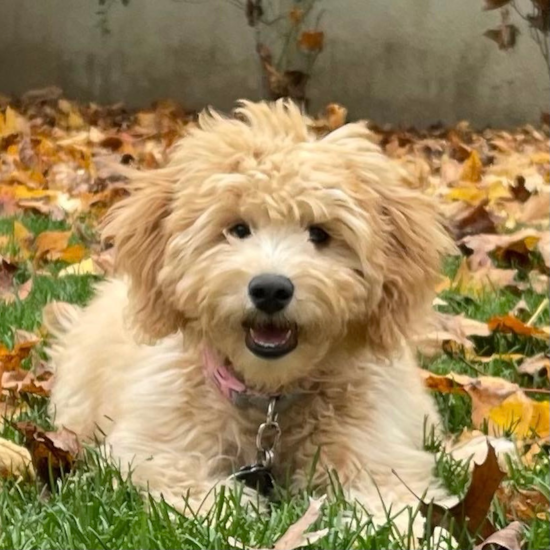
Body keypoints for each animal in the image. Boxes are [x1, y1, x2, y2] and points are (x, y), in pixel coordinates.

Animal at [45, 101, 454, 528]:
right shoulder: (156, 447)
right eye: (238, 229)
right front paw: (235, 510)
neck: (269, 397)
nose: (270, 290)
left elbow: (389, 497)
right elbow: (176, 478)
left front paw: (415, 532)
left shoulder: (378, 452)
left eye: (320, 233)